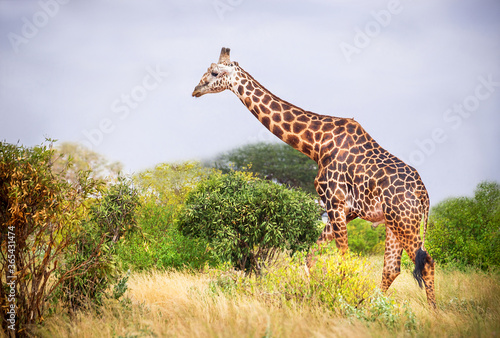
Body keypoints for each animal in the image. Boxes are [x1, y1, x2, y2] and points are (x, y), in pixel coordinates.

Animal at [193, 46, 436, 308]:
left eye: (214, 72)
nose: (195, 89)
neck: (317, 145)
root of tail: (424, 195)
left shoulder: (335, 202)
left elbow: (343, 258)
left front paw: (339, 298)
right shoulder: (346, 210)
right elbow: (310, 255)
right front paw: (315, 293)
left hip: (404, 221)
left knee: (426, 263)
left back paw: (433, 313)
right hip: (393, 223)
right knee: (392, 268)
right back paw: (378, 305)